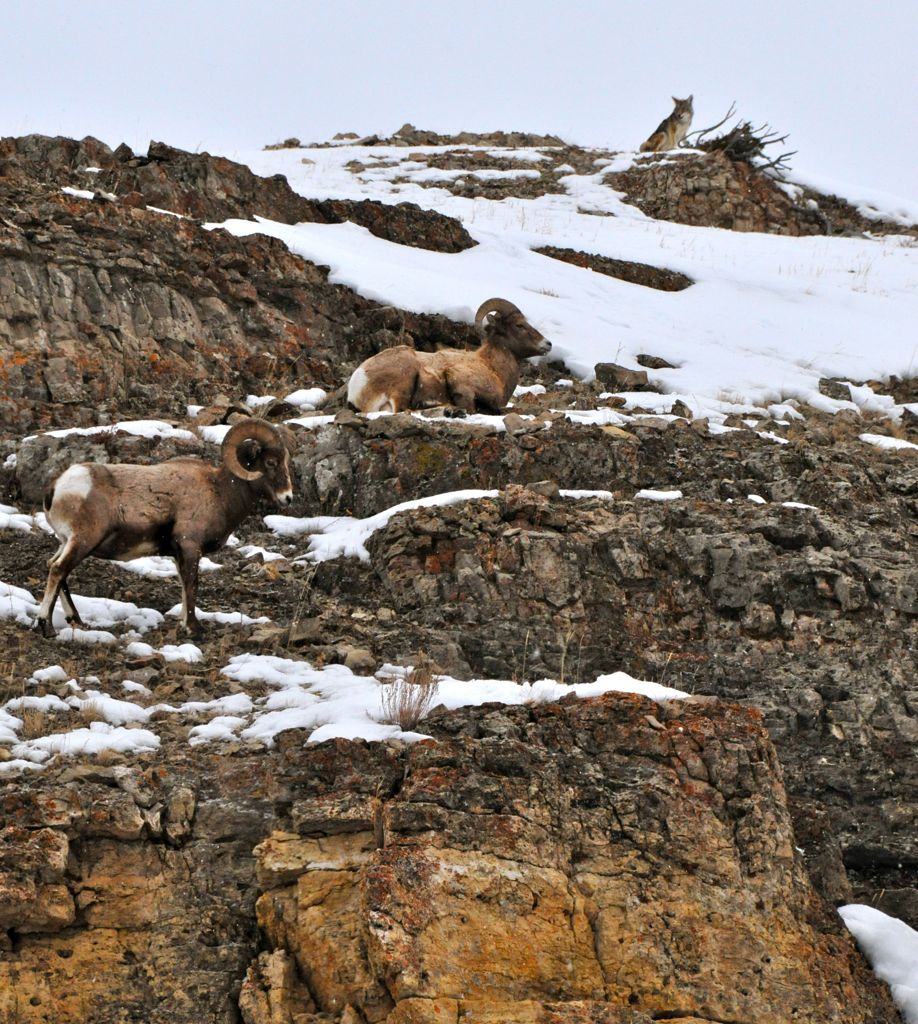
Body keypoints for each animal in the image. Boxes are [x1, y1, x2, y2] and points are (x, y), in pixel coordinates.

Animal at [35, 419, 294, 637]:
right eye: (270, 462)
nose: (288, 498)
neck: (220, 491)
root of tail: (57, 488)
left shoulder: (178, 553)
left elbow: (183, 586)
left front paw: (183, 625)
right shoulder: (189, 546)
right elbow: (191, 584)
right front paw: (193, 629)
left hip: (67, 541)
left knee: (54, 567)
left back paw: (76, 621)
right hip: (83, 540)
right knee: (58, 569)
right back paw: (46, 627)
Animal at [346, 298, 552, 415]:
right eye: (519, 325)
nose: (548, 344)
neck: (493, 368)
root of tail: (359, 381)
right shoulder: (461, 382)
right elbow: (471, 406)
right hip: (404, 379)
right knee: (403, 410)